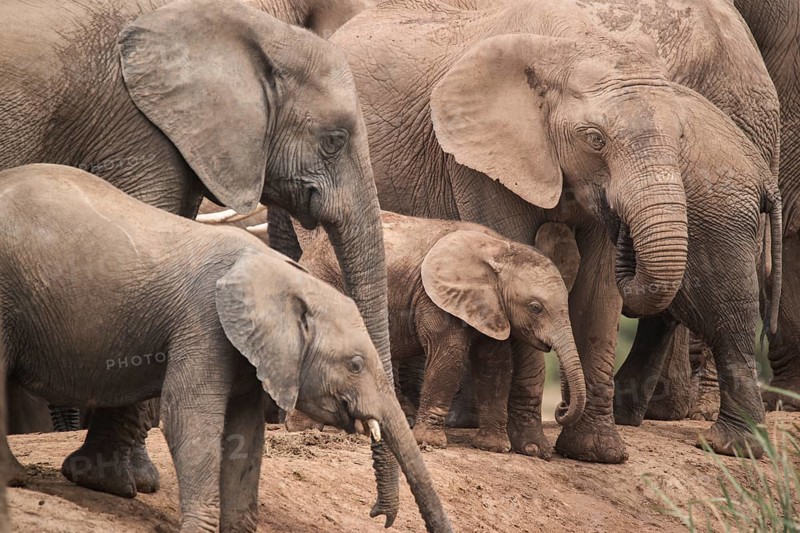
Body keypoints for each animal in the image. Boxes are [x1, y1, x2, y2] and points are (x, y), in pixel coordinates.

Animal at [0, 0, 396, 510]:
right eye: (334, 140)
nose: (376, 513)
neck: (252, 26)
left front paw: (125, 479)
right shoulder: (139, 126)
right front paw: (112, 484)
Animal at [0, 164, 452, 533]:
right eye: (355, 364)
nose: (379, 517)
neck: (283, 276)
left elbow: (243, 439)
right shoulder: (203, 323)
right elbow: (189, 419)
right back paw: (15, 480)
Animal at [289, 212, 585, 457]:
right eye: (535, 308)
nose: (561, 409)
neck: (500, 249)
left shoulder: (491, 307)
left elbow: (494, 365)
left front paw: (494, 447)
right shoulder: (434, 299)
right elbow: (449, 356)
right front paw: (428, 442)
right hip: (323, 284)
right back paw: (304, 429)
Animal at [331, 0, 781, 461]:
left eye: (682, 137)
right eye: (595, 139)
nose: (626, 234)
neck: (572, 46)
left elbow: (600, 287)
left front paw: (597, 453)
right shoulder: (481, 159)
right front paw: (531, 447)